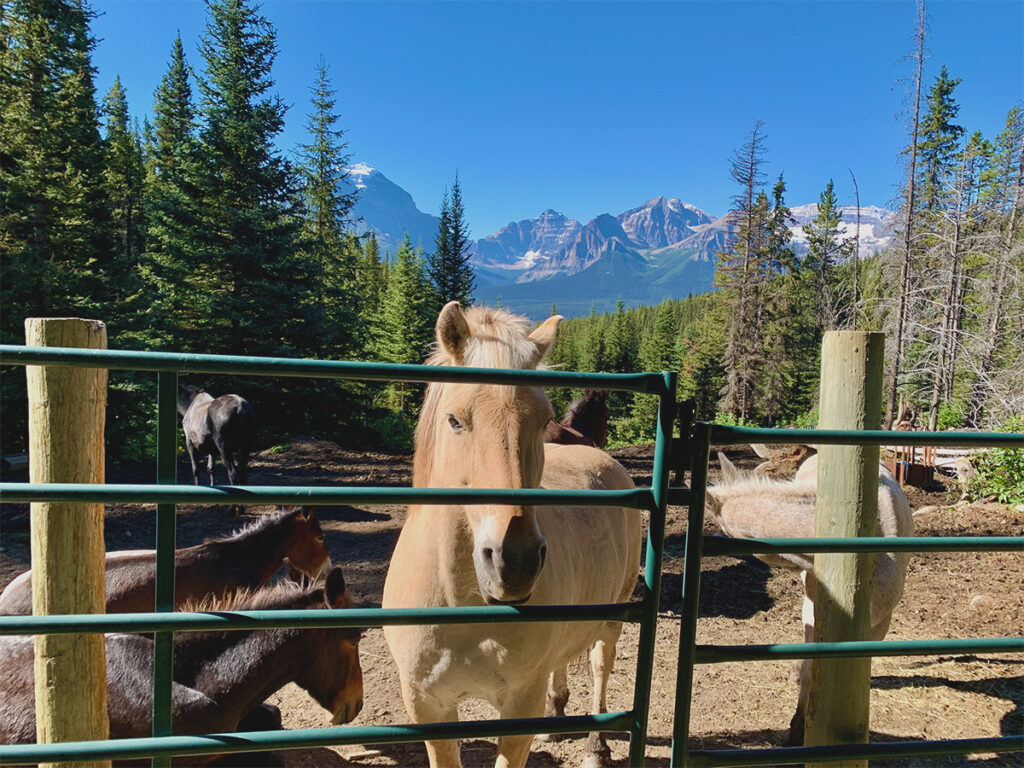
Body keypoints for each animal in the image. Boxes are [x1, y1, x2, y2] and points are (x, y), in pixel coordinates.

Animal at [382, 302, 641, 768]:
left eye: (543, 421)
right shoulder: (428, 707)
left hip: (615, 612)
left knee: (600, 660)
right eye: (454, 420)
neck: (461, 602)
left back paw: (596, 747)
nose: (514, 561)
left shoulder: (519, 708)